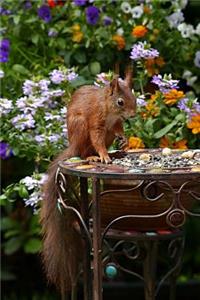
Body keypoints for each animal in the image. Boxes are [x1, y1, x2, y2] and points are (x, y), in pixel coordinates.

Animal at [41, 68, 136, 296]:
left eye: (134, 96)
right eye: (120, 101)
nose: (133, 115)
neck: (108, 108)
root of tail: (72, 147)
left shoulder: (114, 124)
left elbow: (119, 129)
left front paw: (124, 140)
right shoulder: (95, 121)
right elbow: (97, 138)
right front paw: (103, 156)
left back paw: (117, 151)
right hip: (80, 128)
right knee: (85, 151)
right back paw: (93, 157)